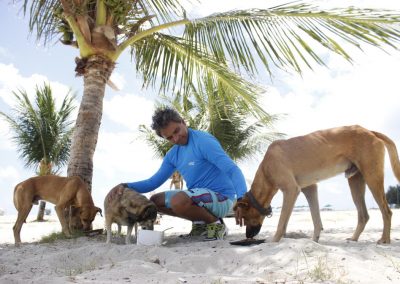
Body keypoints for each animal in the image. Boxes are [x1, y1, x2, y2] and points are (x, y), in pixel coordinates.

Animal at [234, 126, 400, 244]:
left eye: (244, 219)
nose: (248, 236)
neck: (266, 169)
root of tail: (370, 131)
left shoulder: (291, 190)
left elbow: (282, 223)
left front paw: (274, 240)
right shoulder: (310, 189)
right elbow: (315, 218)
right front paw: (315, 240)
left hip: (372, 178)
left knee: (387, 212)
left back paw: (385, 239)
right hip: (356, 182)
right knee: (363, 215)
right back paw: (354, 238)